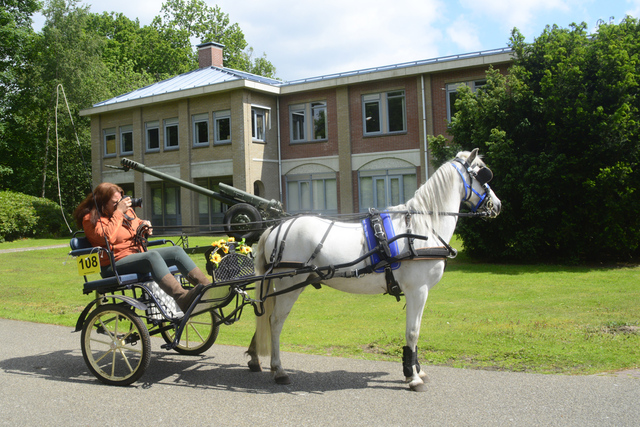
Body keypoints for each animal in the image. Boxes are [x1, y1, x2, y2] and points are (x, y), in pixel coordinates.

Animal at [245, 149, 500, 392]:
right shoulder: (418, 290)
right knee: (275, 321)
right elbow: (413, 332)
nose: (497, 205)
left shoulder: (418, 292)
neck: (423, 228)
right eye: (483, 172)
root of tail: (275, 228)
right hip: (288, 285)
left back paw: (257, 358)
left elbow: (416, 330)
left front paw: (415, 368)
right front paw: (413, 377)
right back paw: (278, 370)